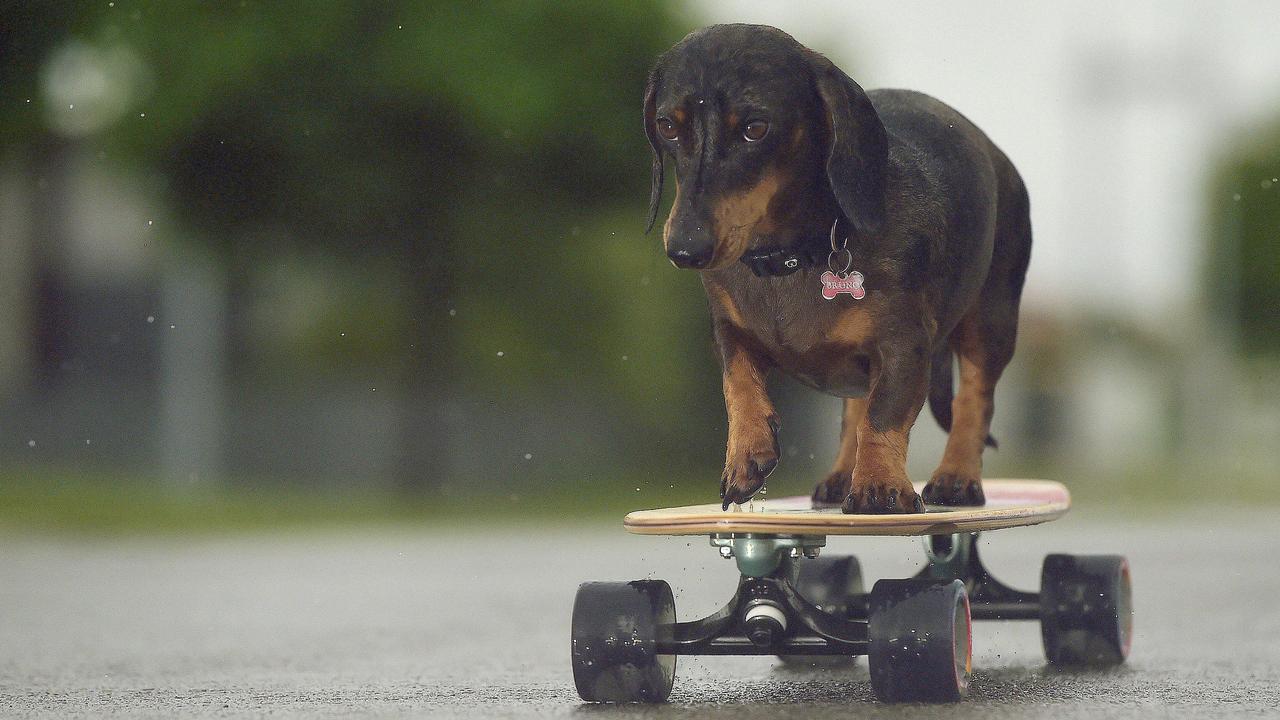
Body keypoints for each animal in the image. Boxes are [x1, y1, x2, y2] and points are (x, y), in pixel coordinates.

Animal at [645, 25, 1034, 512]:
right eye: (667, 126)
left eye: (755, 129)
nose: (684, 250)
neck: (789, 260)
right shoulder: (727, 329)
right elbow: (738, 383)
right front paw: (747, 456)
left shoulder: (904, 344)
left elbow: (884, 415)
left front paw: (880, 486)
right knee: (855, 407)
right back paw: (841, 474)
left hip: (992, 320)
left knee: (974, 399)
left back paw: (956, 477)